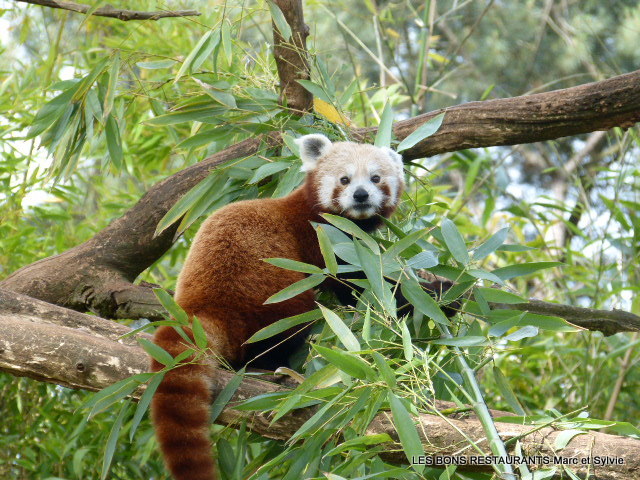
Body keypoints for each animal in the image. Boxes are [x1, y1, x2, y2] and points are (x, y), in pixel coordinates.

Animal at [149, 134, 416, 480]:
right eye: (344, 179)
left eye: (375, 178)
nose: (360, 194)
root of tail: (202, 306)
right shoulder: (325, 242)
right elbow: (356, 284)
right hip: (270, 295)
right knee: (286, 327)